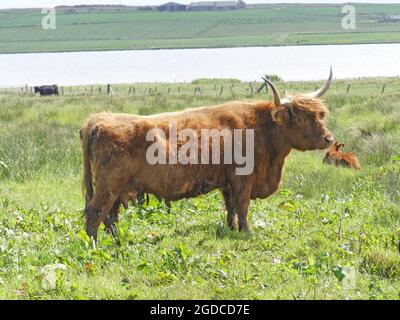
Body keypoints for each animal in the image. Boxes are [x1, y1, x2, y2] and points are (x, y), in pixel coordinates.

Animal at [80, 70, 334, 240]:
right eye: (300, 117)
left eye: (320, 115)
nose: (328, 139)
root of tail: (98, 121)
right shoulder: (243, 178)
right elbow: (242, 206)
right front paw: (247, 232)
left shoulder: (228, 181)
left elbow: (230, 207)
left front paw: (232, 229)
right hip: (109, 185)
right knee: (96, 213)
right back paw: (95, 246)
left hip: (117, 189)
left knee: (110, 217)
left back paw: (118, 242)